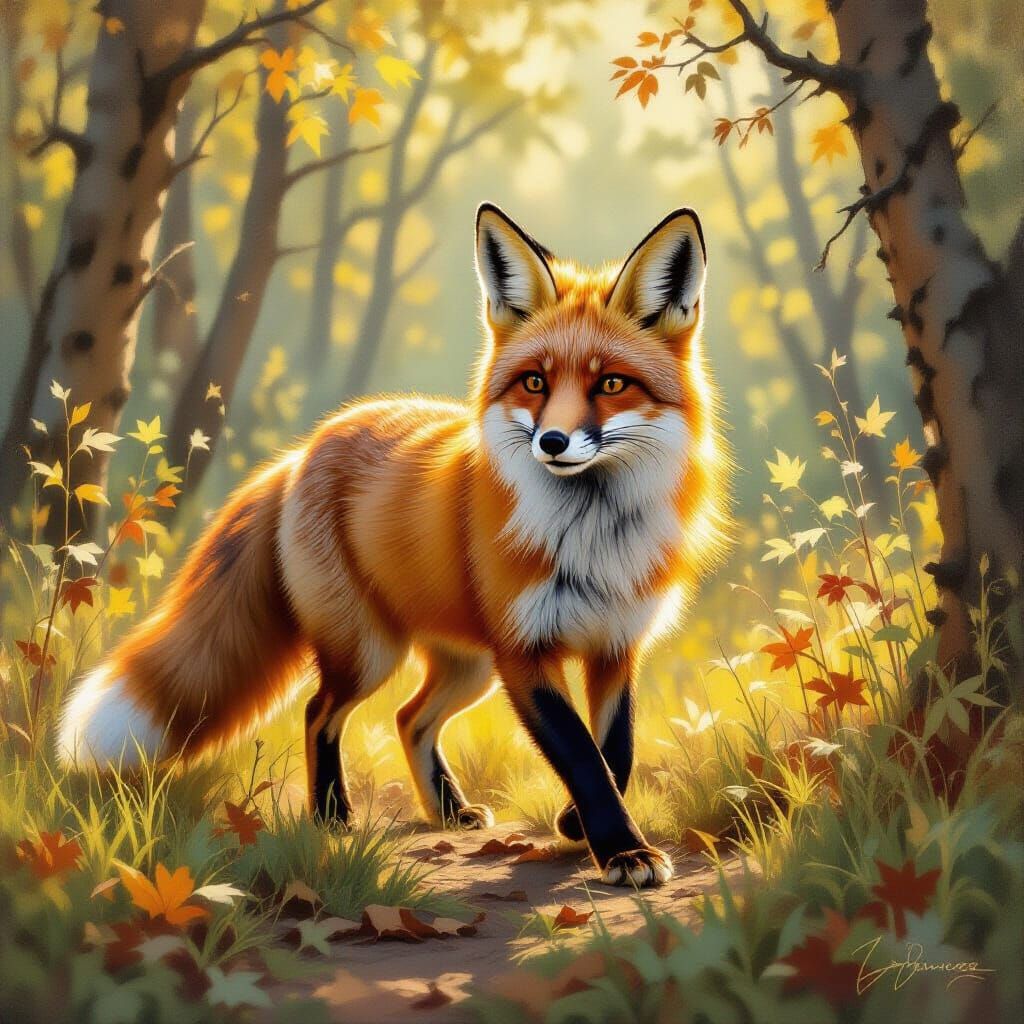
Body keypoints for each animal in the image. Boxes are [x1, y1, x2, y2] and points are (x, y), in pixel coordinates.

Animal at [58, 203, 730, 887]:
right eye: (535, 382)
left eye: (612, 385)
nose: (553, 442)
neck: (592, 538)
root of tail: (308, 445)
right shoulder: (524, 652)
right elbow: (583, 756)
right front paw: (622, 850)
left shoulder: (617, 644)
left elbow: (615, 751)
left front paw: (578, 826)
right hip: (371, 651)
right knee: (320, 710)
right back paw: (332, 815)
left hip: (468, 666)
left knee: (409, 717)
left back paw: (448, 811)